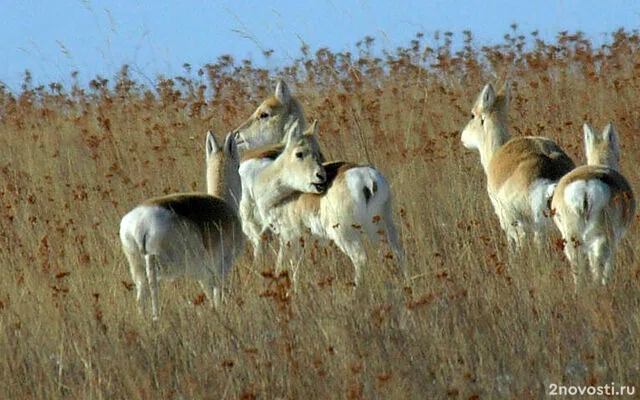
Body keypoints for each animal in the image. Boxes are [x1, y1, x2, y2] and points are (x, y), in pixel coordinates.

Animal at [119, 133, 244, 320]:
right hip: (161, 264)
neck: (222, 202)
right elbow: (217, 296)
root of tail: (139, 224)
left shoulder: (203, 275)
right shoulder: (218, 270)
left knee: (141, 298)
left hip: (138, 269)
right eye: (238, 165)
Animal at [251, 120, 404, 286]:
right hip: (383, 227)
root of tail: (368, 179)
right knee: (397, 253)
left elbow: (284, 267)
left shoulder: (289, 239)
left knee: (361, 258)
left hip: (346, 235)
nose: (321, 176)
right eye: (299, 153)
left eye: (317, 152)